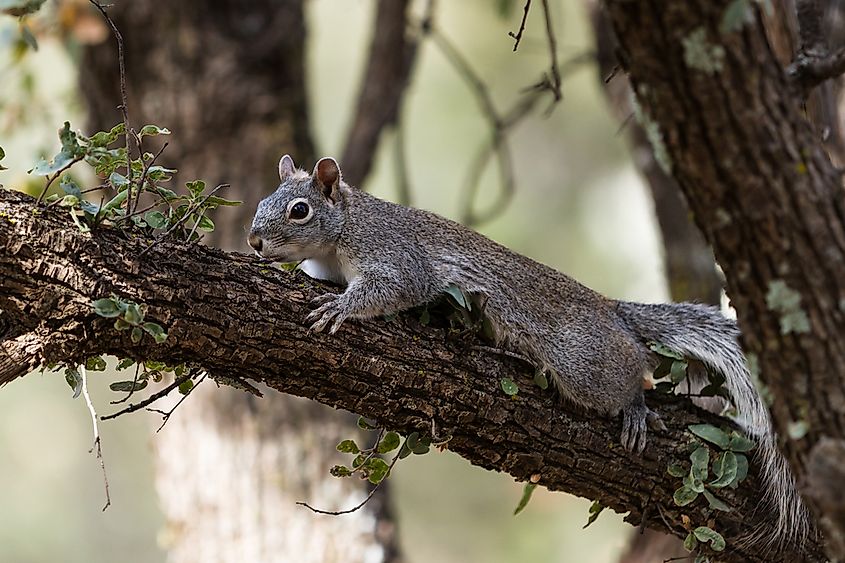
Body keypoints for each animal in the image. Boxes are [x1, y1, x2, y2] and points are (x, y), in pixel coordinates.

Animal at [248, 154, 809, 547]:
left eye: (300, 210)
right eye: (260, 203)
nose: (253, 242)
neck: (344, 228)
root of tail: (613, 314)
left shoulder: (396, 256)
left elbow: (391, 288)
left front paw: (340, 308)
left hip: (584, 364)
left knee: (634, 372)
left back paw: (633, 405)